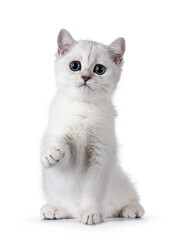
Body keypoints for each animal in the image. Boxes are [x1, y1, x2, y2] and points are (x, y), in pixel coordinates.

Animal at [40, 29, 145, 224]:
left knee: (129, 197)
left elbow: (93, 189)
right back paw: (54, 209)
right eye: (75, 66)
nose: (85, 77)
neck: (84, 107)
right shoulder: (61, 134)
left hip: (121, 179)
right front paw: (51, 154)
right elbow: (55, 142)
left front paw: (90, 212)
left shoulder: (100, 156)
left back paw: (131, 209)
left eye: (99, 69)